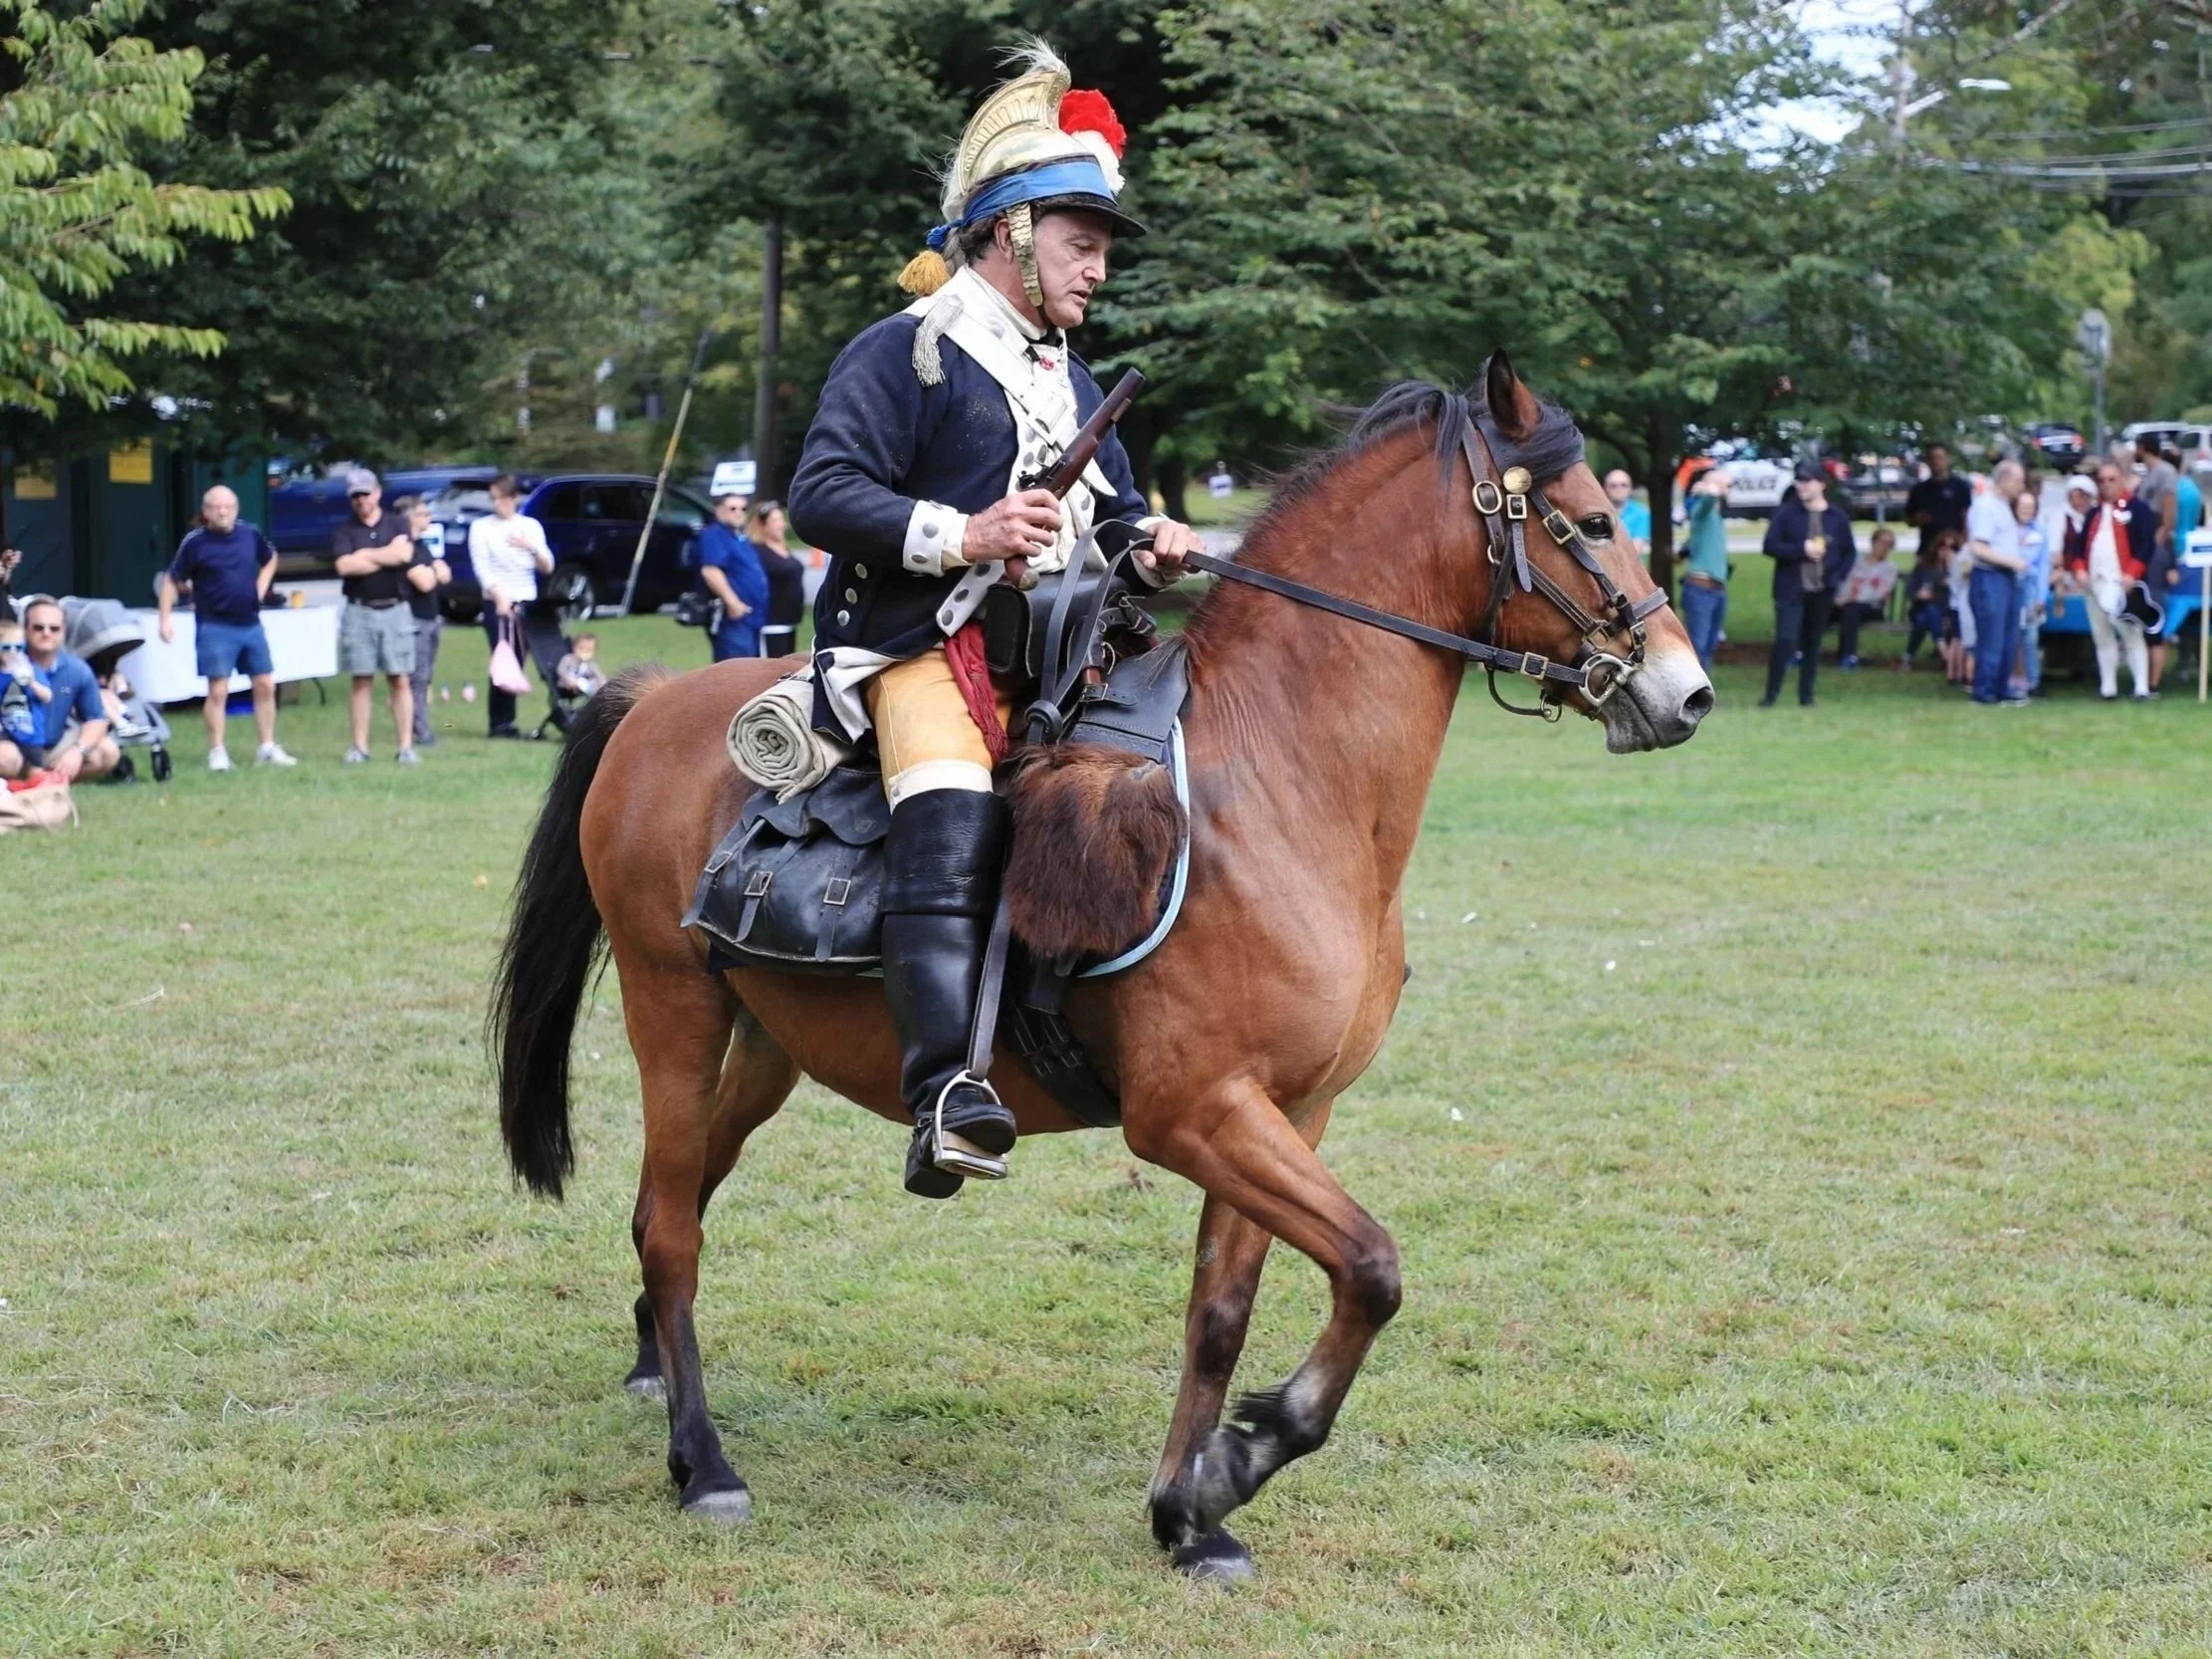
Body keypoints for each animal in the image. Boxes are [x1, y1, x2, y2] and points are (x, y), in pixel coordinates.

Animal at [490, 352, 1713, 1580]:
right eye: (1588, 520)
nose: (1687, 690)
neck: (1278, 778)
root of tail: (657, 700)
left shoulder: (1287, 1113)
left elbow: (1221, 1312)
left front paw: (1190, 1510)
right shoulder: (1192, 1111)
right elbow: (1371, 1267)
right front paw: (1249, 1450)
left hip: (760, 1049)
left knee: (671, 1199)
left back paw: (656, 1373)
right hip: (673, 1014)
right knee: (672, 1227)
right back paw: (703, 1462)